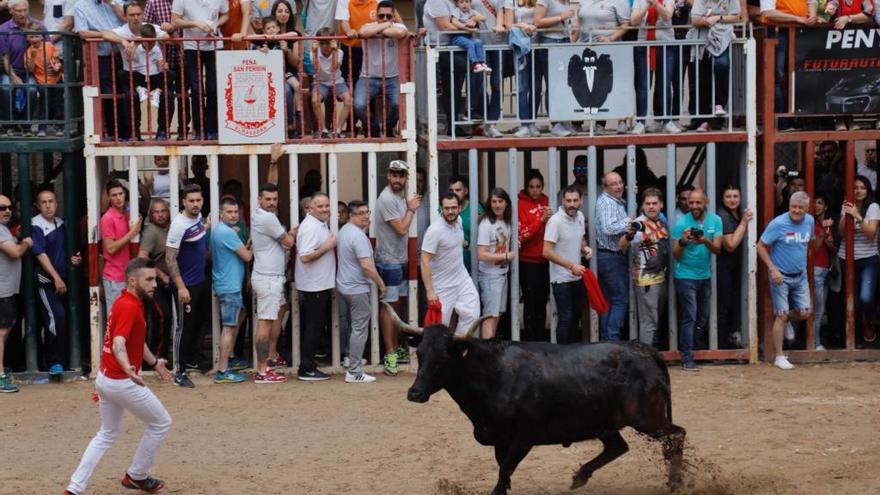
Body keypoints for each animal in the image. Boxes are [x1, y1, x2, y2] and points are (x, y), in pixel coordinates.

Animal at [386, 304, 688, 494]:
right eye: (420, 354)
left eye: (443, 359)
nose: (415, 393)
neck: (494, 374)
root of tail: (643, 350)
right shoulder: (501, 440)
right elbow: (503, 471)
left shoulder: (523, 439)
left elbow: (504, 470)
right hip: (607, 424)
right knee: (618, 447)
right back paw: (580, 477)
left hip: (648, 419)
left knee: (676, 435)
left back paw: (675, 481)